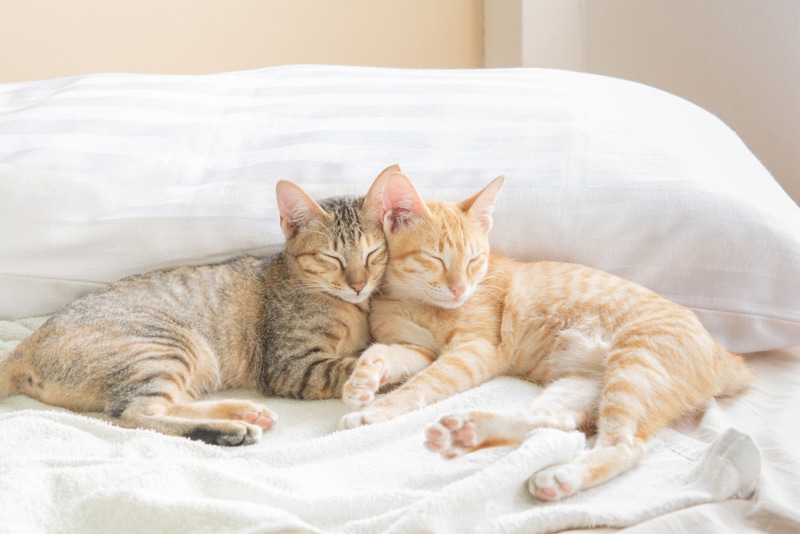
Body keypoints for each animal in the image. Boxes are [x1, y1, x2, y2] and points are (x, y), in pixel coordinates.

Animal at [0, 166, 394, 448]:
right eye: (331, 257)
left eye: (372, 253)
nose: (358, 285)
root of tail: (25, 345)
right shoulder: (291, 366)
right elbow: (356, 364)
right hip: (166, 347)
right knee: (136, 414)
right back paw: (230, 430)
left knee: (163, 405)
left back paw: (244, 412)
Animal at [340, 172, 752, 502]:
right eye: (435, 259)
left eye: (474, 261)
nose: (459, 289)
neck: (413, 301)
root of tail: (726, 355)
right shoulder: (418, 349)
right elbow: (385, 352)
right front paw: (362, 381)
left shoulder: (474, 351)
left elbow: (424, 384)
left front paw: (375, 412)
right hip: (583, 384)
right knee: (556, 424)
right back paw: (472, 433)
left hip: (636, 365)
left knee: (626, 445)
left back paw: (563, 474)